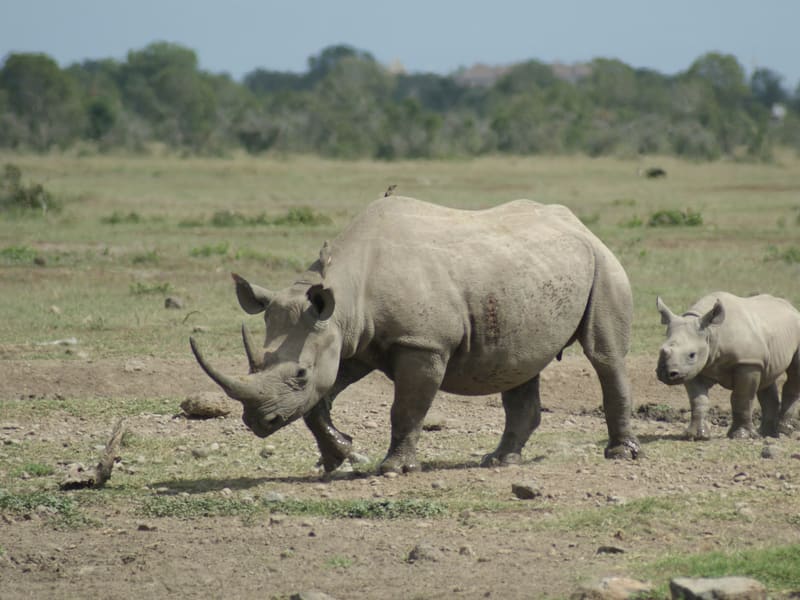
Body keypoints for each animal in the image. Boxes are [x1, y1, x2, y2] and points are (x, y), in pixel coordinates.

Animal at [190, 196, 640, 474]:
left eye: (299, 374)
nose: (257, 422)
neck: (346, 292)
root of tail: (579, 224)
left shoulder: (422, 344)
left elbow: (405, 408)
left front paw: (394, 469)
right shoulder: (348, 340)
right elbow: (318, 404)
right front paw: (341, 457)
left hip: (603, 262)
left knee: (604, 355)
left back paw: (620, 454)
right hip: (528, 274)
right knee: (519, 363)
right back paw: (499, 461)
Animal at [656, 292, 800, 440]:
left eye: (692, 354)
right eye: (661, 350)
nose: (667, 374)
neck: (711, 332)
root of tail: (792, 308)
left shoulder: (748, 362)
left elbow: (741, 398)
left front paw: (740, 436)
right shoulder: (691, 369)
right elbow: (698, 400)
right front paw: (696, 435)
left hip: (794, 328)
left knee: (794, 373)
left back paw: (783, 430)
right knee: (767, 376)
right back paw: (766, 433)